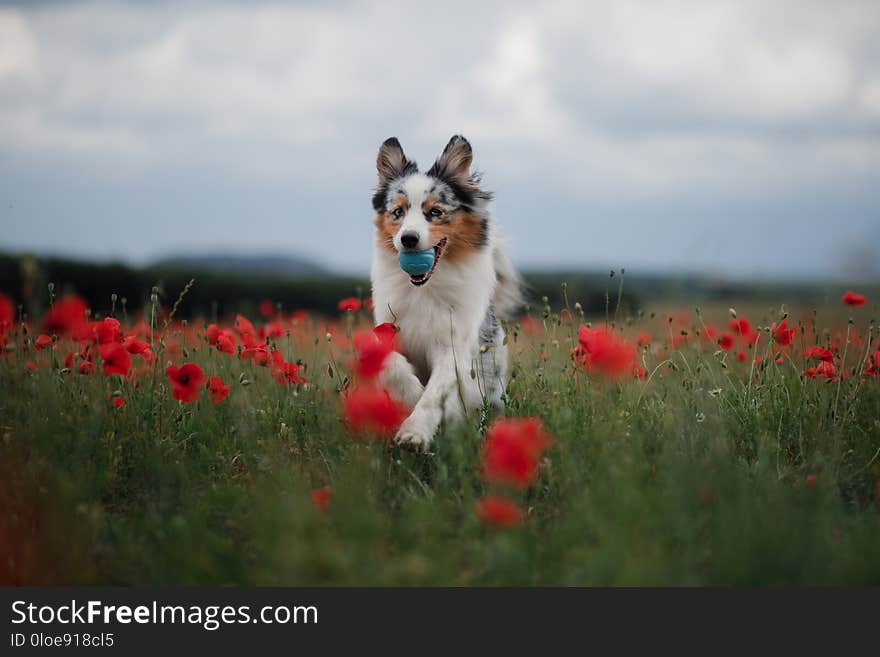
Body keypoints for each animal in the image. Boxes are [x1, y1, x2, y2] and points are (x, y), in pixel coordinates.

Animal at [368, 135, 520, 448]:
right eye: (398, 212)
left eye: (435, 212)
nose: (408, 239)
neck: (424, 288)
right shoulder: (388, 328)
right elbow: (391, 363)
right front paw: (411, 395)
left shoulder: (452, 345)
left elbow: (434, 392)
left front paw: (414, 432)